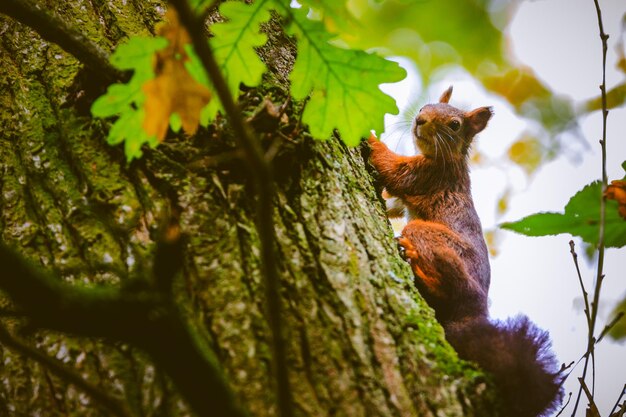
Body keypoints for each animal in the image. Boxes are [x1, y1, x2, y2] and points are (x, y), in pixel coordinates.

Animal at [366, 86, 560, 414]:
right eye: (426, 106)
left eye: (454, 125)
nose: (420, 120)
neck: (446, 157)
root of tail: (472, 310)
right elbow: (392, 202)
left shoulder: (427, 175)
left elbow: (392, 167)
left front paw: (367, 139)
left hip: (431, 239)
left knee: (446, 283)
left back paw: (415, 263)